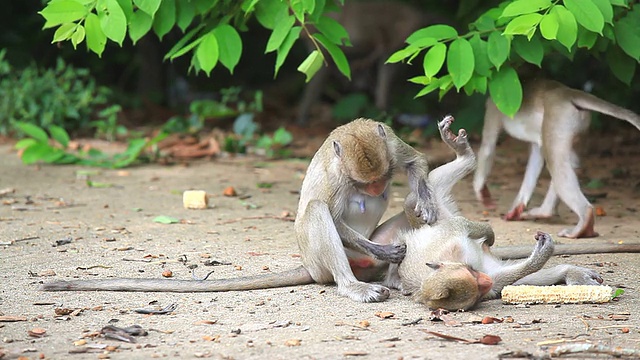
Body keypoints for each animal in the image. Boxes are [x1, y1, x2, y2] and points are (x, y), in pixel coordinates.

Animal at [470, 78, 640, 239]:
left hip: (557, 116)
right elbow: (537, 155)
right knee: (568, 160)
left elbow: (488, 147)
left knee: (556, 162)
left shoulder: (493, 105)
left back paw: (583, 219)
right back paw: (545, 212)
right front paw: (517, 207)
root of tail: (569, 93)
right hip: (575, 123)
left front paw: (481, 191)